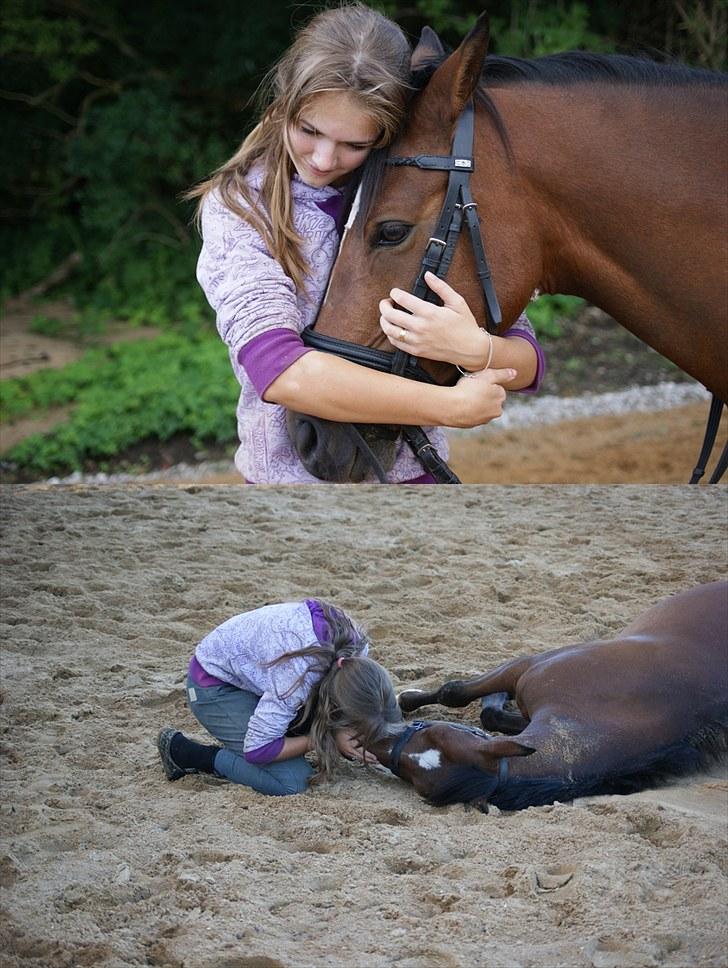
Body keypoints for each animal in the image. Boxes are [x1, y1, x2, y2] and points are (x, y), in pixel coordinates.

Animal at [366, 584, 724, 808]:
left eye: (434, 734)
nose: (377, 743)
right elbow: (486, 710)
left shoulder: (526, 665)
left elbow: (455, 693)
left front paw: (410, 697)